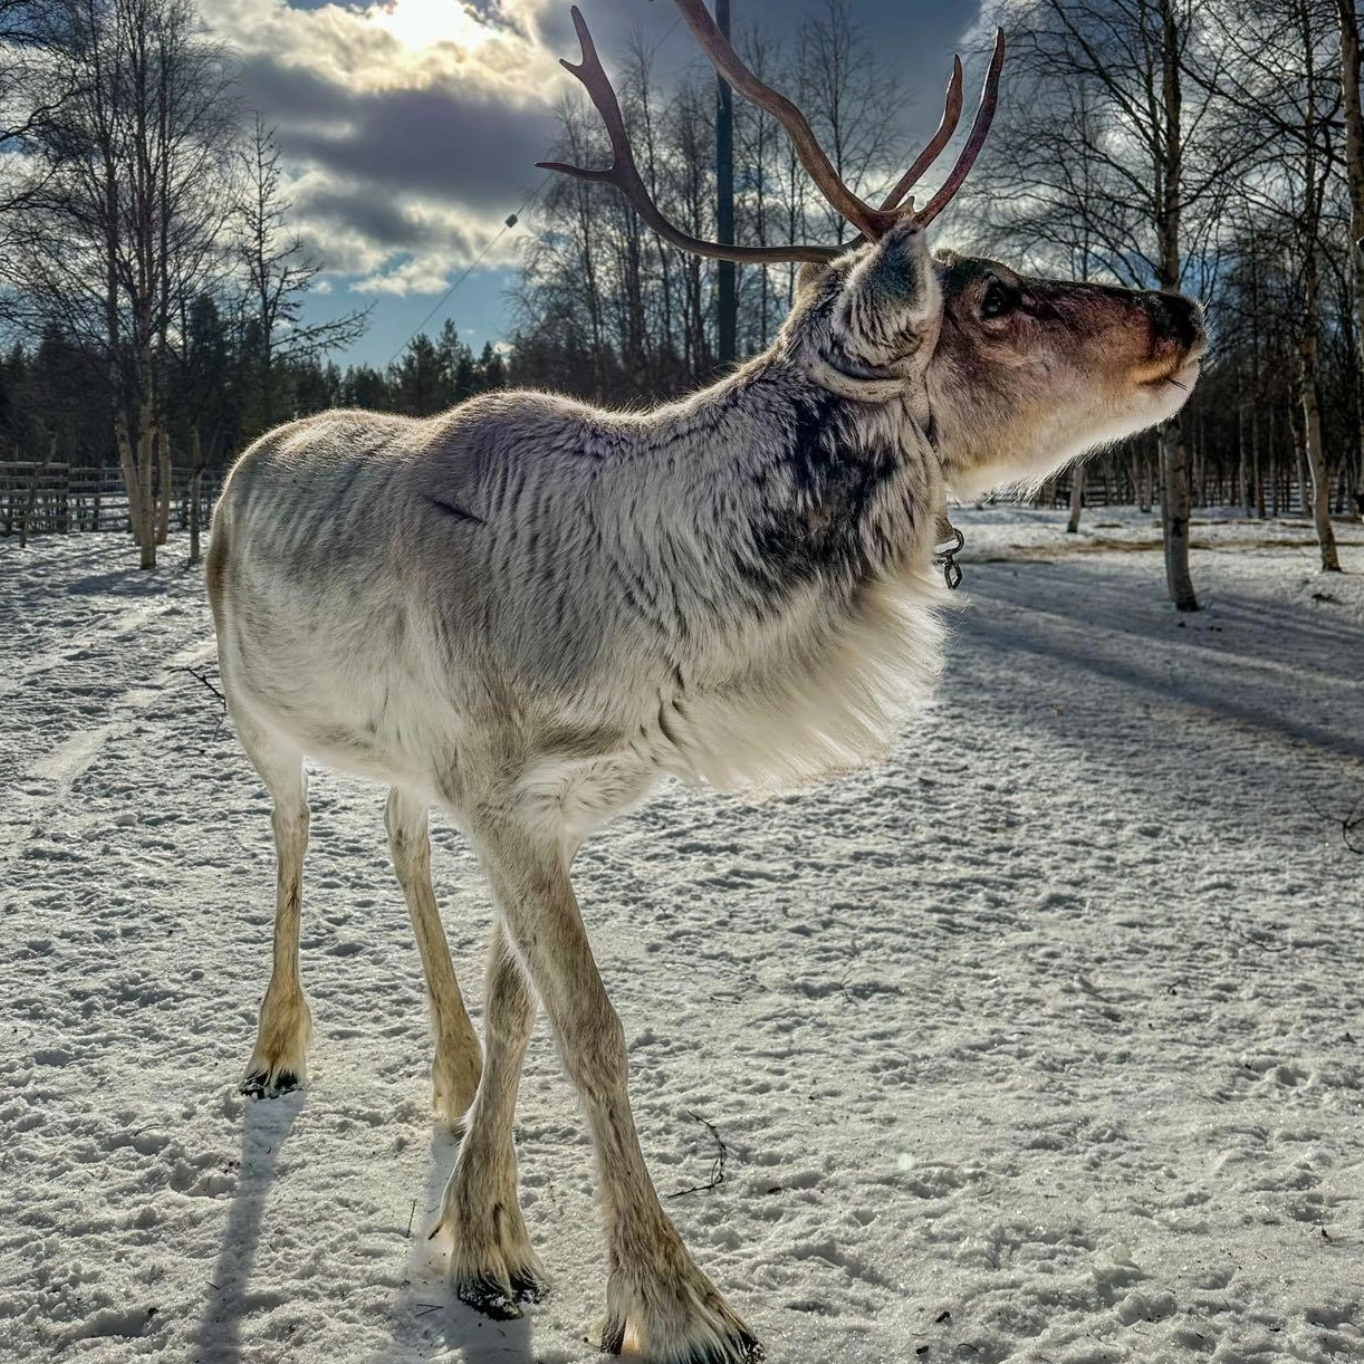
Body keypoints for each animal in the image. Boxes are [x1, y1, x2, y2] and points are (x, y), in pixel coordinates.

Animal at [205, 2, 1206, 1360]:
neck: (647, 635)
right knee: (294, 839)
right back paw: (273, 1047)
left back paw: (446, 1074)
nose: (1182, 307)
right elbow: (592, 1027)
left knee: (398, 842)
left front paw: (486, 1233)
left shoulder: (547, 803)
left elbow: (521, 1007)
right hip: (256, 711)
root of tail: (245, 460)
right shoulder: (503, 793)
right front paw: (672, 1300)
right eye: (995, 296)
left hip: (403, 758)